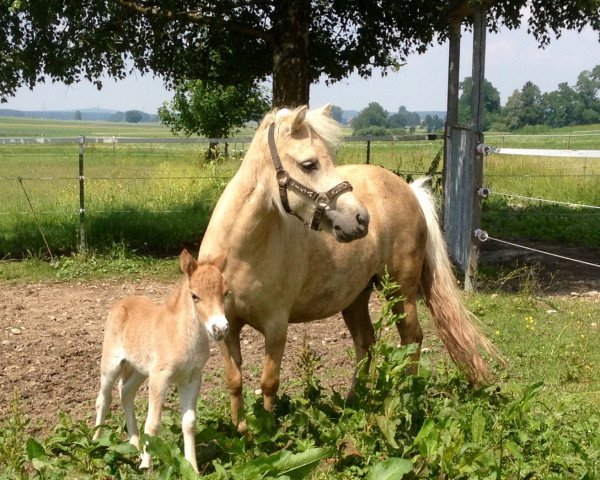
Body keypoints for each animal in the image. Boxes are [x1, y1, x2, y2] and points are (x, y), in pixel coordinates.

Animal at [94, 251, 230, 472]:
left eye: (225, 293)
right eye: (194, 296)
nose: (220, 329)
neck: (180, 334)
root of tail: (122, 302)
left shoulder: (192, 379)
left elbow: (189, 422)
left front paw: (192, 467)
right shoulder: (160, 377)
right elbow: (153, 424)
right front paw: (145, 467)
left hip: (140, 370)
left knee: (126, 393)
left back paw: (135, 446)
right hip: (111, 364)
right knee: (104, 399)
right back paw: (96, 441)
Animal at [199, 104, 500, 432]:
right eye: (309, 164)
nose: (360, 219)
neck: (241, 252)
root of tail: (408, 190)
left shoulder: (276, 326)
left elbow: (269, 382)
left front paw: (268, 431)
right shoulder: (227, 324)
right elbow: (234, 381)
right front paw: (241, 431)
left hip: (401, 293)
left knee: (411, 339)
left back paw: (405, 399)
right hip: (356, 298)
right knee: (365, 342)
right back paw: (354, 400)